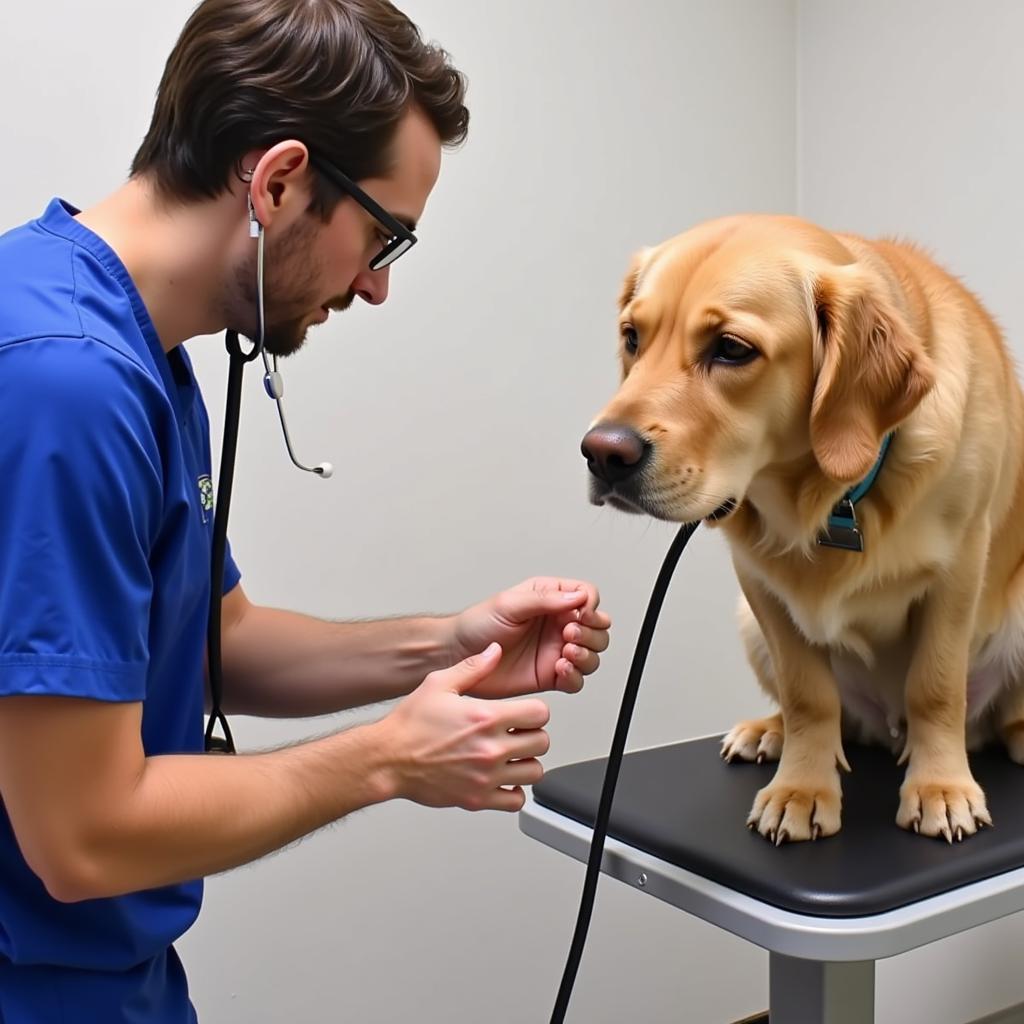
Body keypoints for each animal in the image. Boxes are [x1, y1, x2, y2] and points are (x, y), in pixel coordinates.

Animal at [581, 214, 1024, 839]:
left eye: (731, 349)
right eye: (632, 338)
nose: (601, 454)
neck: (832, 500)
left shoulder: (958, 572)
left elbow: (935, 688)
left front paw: (941, 786)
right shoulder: (760, 587)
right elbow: (808, 698)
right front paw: (803, 788)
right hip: (749, 624)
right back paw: (769, 731)